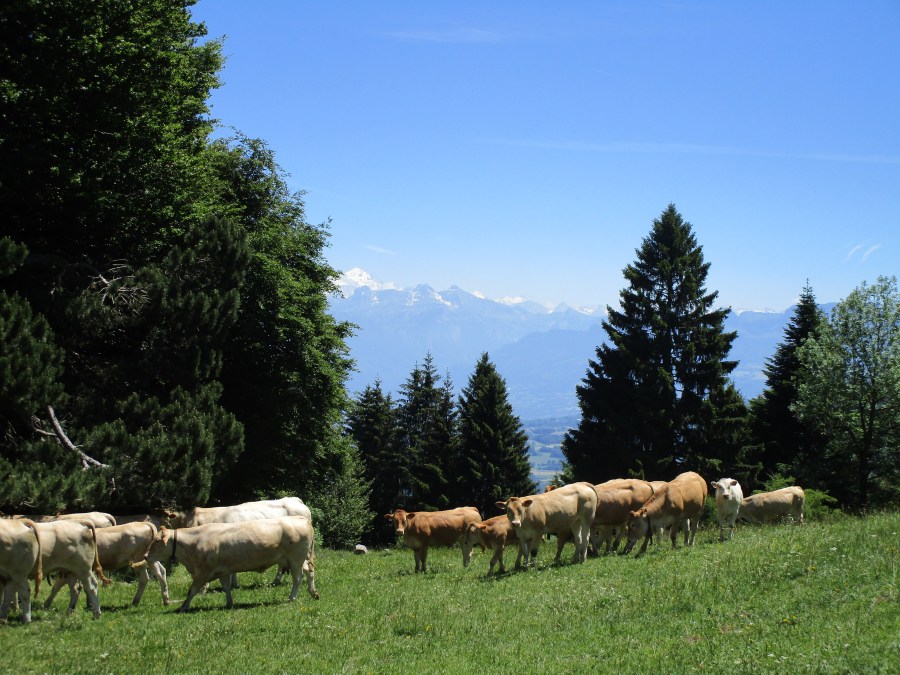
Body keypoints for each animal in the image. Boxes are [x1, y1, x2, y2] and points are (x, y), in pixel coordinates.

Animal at [143, 516, 318, 613]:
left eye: (157, 540)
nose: (145, 556)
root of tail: (300, 518)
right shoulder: (223, 571)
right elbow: (226, 587)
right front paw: (229, 603)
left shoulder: (203, 573)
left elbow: (191, 591)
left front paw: (183, 607)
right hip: (296, 559)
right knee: (309, 571)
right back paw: (313, 592)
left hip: (295, 559)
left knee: (298, 578)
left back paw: (292, 597)